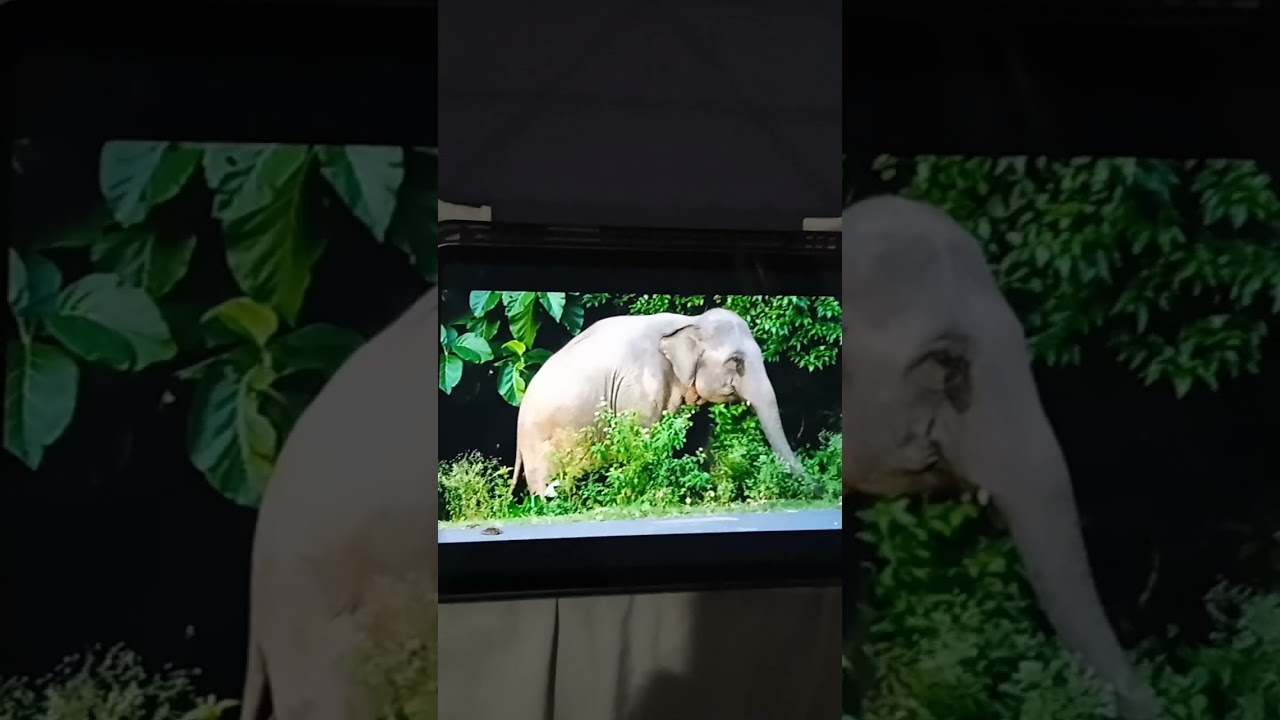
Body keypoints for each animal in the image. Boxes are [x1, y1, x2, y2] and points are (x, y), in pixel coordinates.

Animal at [511, 308, 806, 499]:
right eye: (736, 361)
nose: (813, 490)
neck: (690, 322)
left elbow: (698, 438)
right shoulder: (641, 385)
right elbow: (644, 440)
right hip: (541, 443)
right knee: (547, 486)